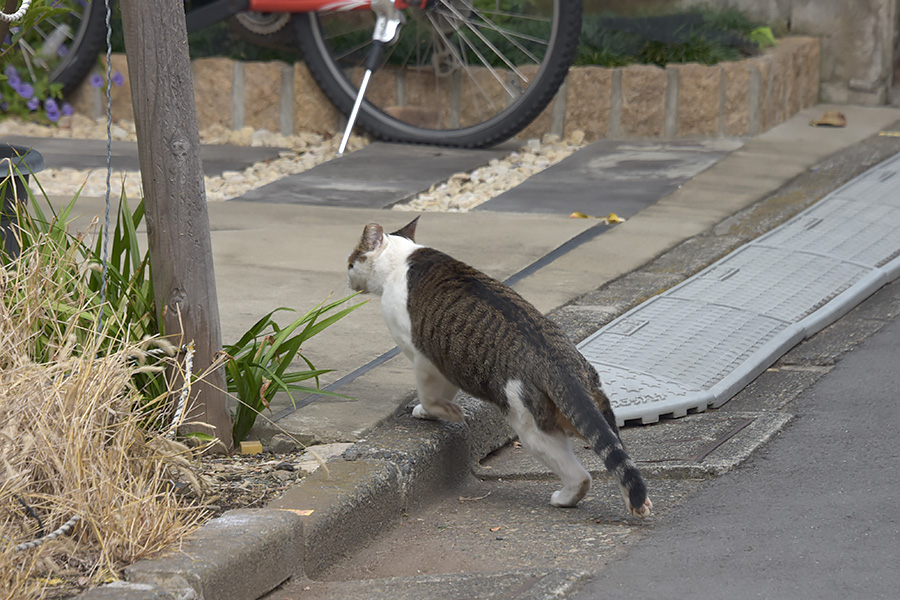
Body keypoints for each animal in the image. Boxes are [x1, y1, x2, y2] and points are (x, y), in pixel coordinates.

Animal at [348, 218, 652, 516]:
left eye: (350, 262)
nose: (347, 277)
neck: (401, 259)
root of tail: (559, 363)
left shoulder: (425, 358)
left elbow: (430, 395)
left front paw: (441, 411)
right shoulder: (448, 361)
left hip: (531, 426)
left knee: (581, 476)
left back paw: (565, 498)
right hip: (598, 409)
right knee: (617, 454)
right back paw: (636, 501)